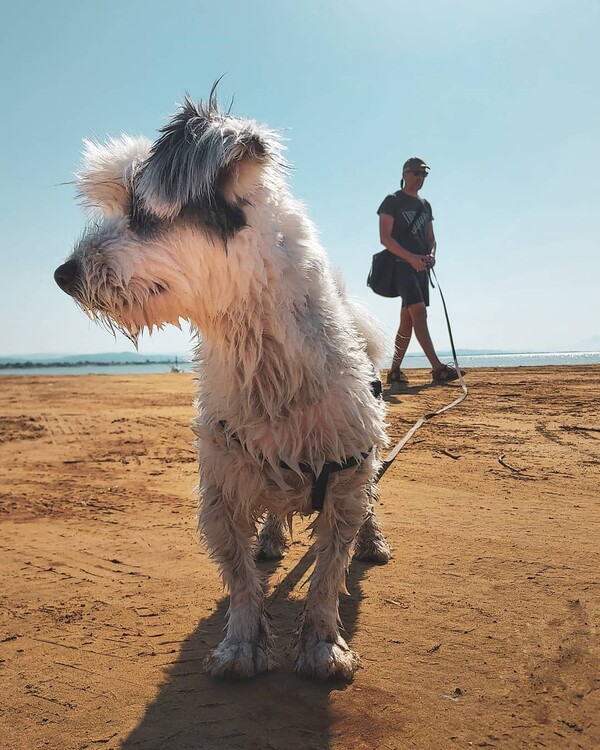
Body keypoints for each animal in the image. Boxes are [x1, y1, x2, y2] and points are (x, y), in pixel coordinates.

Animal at [56, 91, 392, 684]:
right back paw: (271, 539)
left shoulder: (344, 479)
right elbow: (238, 577)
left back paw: (372, 542)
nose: (62, 273)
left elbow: (329, 571)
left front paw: (322, 646)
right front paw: (241, 644)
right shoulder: (221, 489)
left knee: (370, 503)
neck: (270, 373)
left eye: (141, 214)